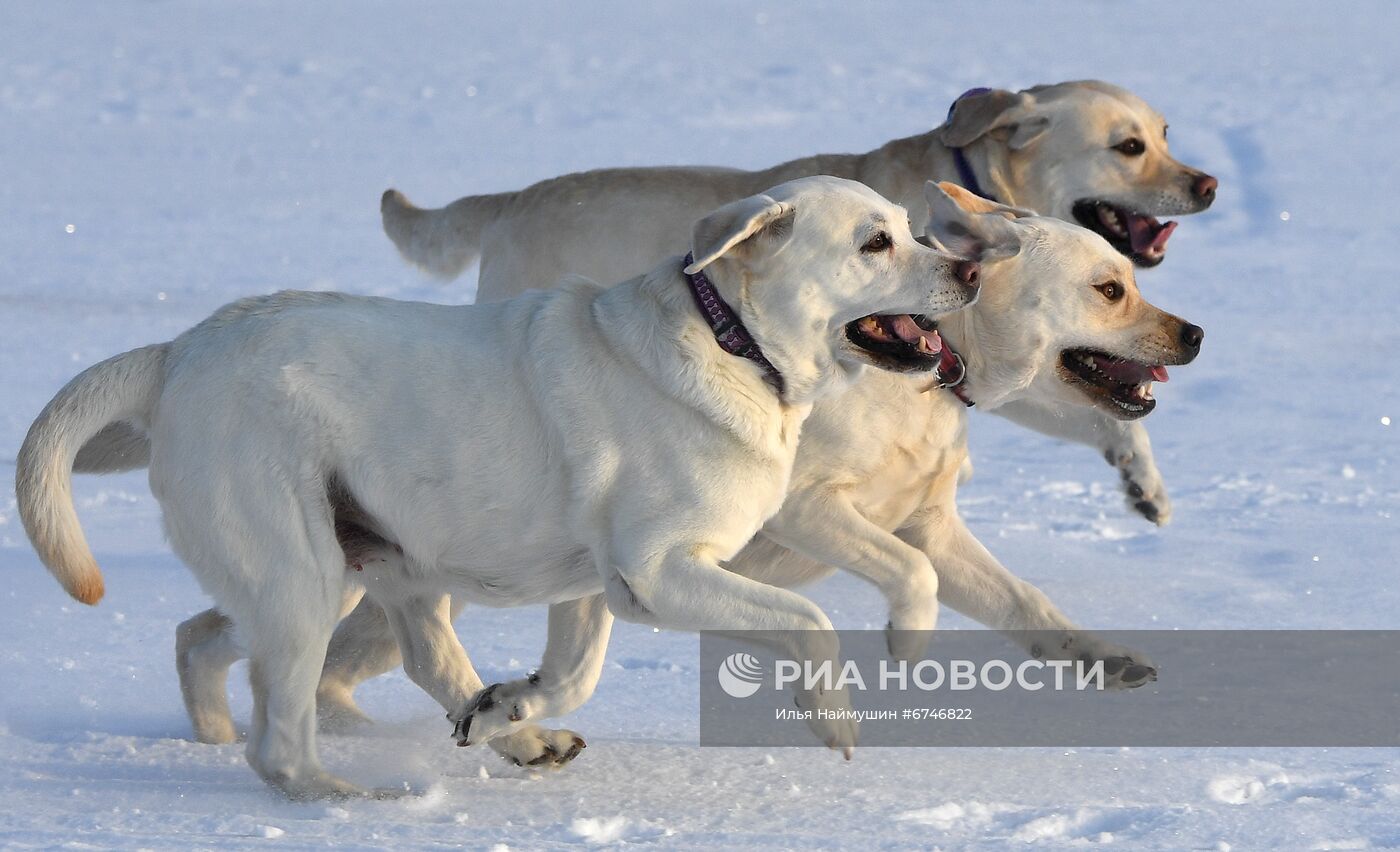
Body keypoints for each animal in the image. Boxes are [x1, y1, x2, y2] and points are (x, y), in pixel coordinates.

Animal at [19, 177, 985, 794]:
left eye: (912, 226)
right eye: (875, 243)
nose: (972, 269)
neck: (733, 340)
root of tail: (175, 354)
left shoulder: (600, 587)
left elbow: (573, 675)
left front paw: (506, 710)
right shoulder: (663, 569)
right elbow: (810, 618)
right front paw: (833, 717)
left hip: (361, 567)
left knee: (282, 645)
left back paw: (509, 741)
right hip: (302, 576)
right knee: (282, 742)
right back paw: (351, 799)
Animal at [172, 183, 1204, 766]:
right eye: (1111, 288)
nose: (1193, 334)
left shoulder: (922, 521)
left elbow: (1026, 603)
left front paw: (1108, 659)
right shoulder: (790, 521)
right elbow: (881, 593)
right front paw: (896, 659)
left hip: (375, 568)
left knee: (217, 632)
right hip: (341, 572)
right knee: (288, 656)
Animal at [383, 77, 1215, 526]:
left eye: (1165, 133)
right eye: (1128, 147)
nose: (1208, 183)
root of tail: (509, 200)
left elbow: (1100, 413)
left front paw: (1142, 482)